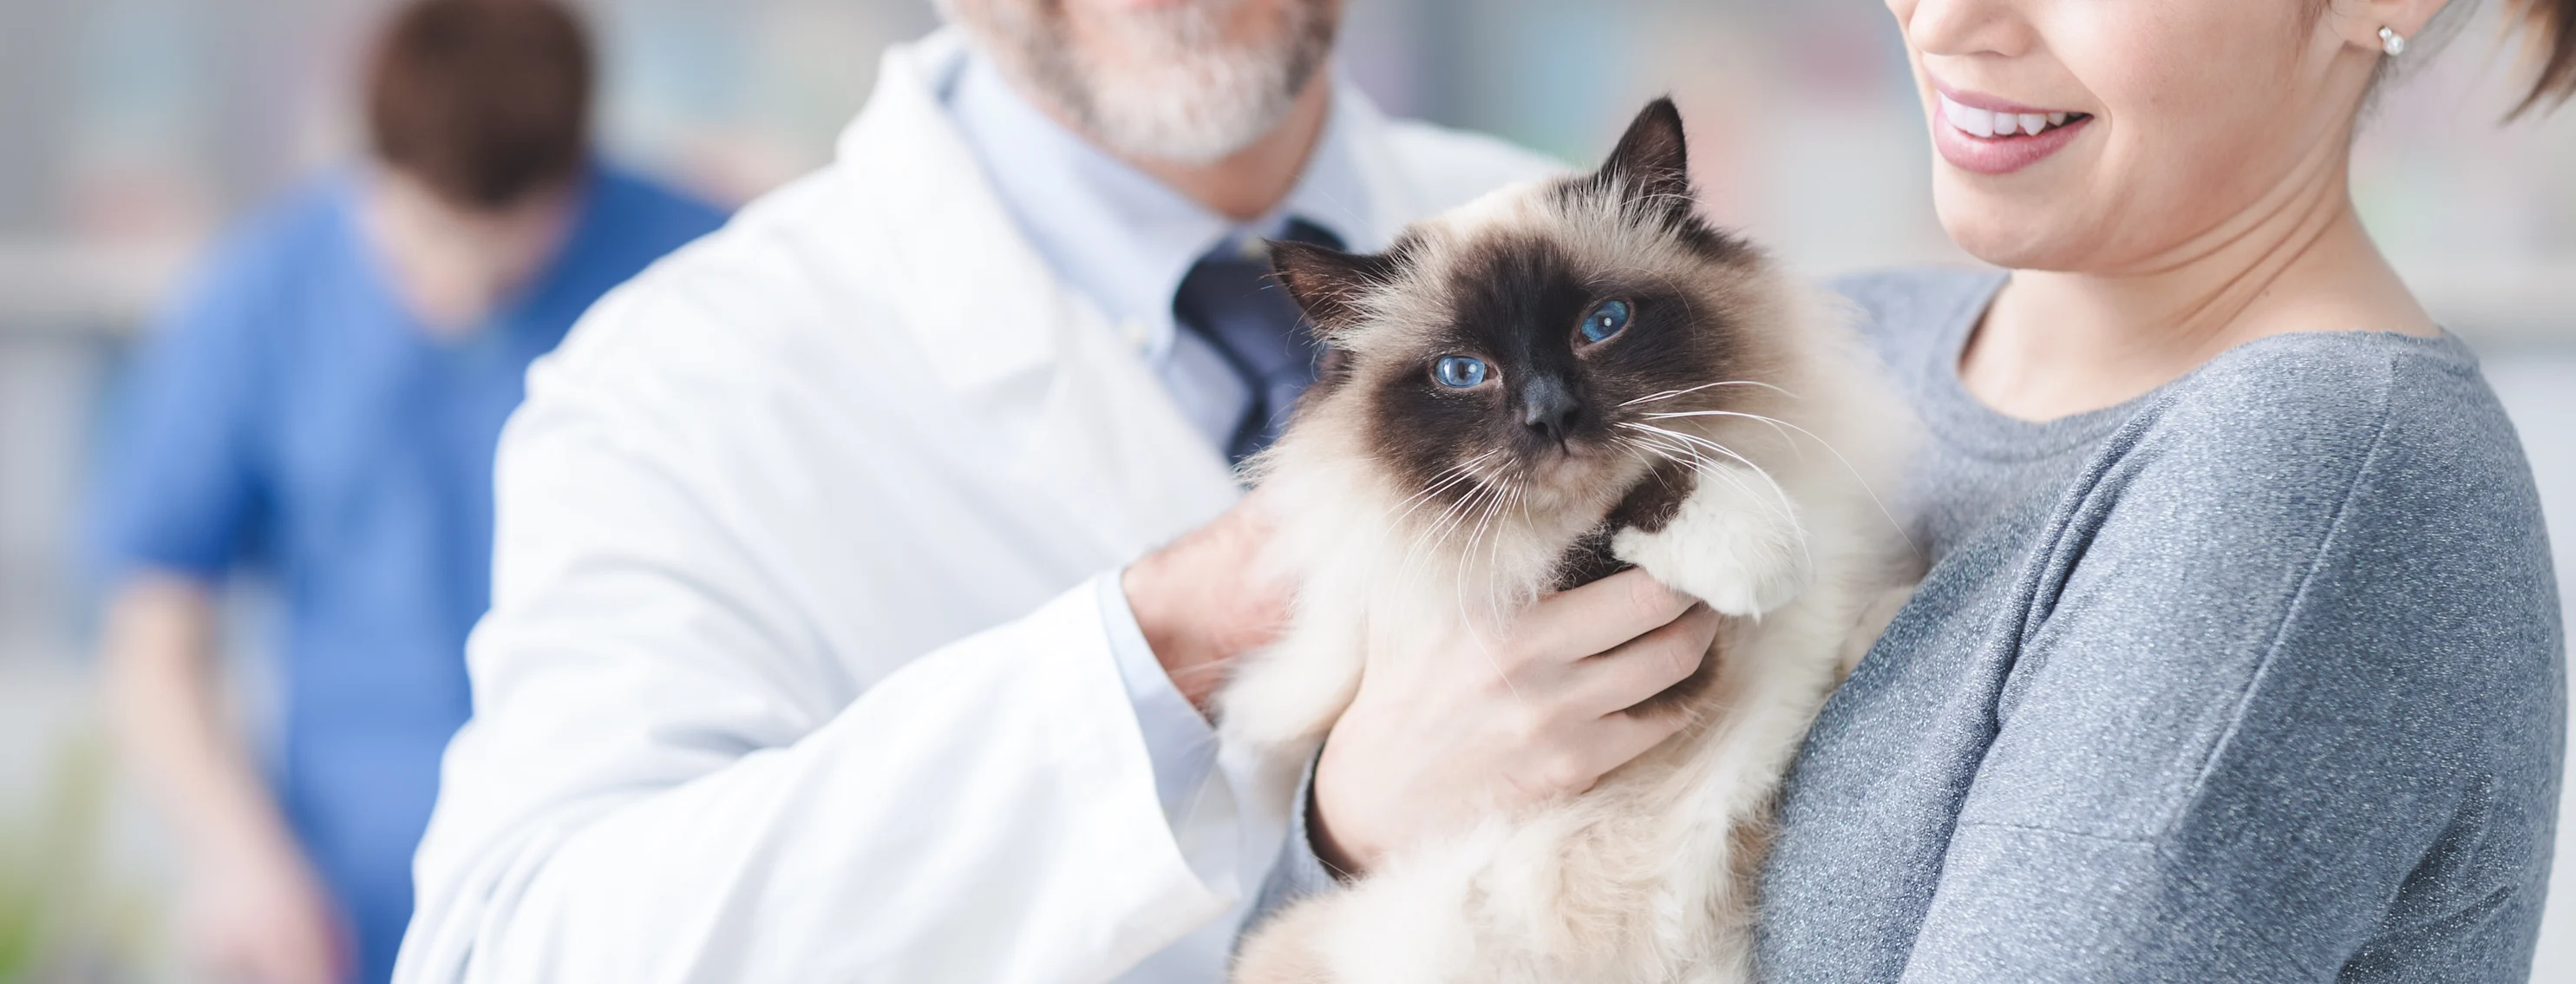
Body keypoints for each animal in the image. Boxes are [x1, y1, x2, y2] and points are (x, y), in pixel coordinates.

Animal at [1215, 97, 1926, 984]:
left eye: (1603, 325)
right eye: (1462, 373)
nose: (1550, 415)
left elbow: (1845, 626)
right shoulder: (1526, 599)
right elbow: (1618, 517)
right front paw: (1762, 553)